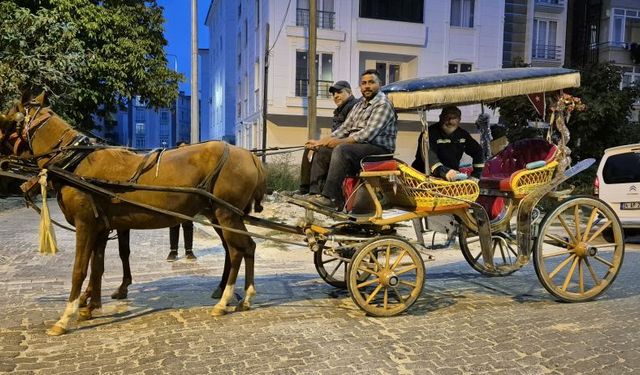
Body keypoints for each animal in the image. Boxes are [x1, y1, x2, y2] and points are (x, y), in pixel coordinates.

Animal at [0, 94, 264, 338]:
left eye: (5, 119)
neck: (75, 164)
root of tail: (250, 156)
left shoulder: (86, 225)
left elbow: (80, 269)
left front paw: (67, 316)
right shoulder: (100, 227)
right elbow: (97, 266)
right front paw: (91, 305)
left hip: (226, 213)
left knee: (237, 250)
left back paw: (224, 300)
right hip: (219, 215)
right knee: (245, 247)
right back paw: (244, 297)